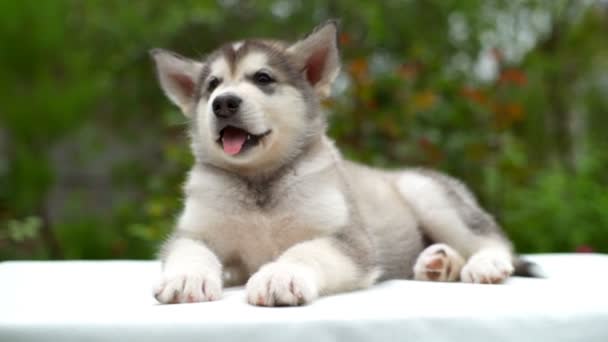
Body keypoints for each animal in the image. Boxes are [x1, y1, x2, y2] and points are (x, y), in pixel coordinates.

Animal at [148, 20, 528, 306]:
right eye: (212, 85)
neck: (260, 182)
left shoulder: (347, 238)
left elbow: (306, 251)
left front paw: (279, 275)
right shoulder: (195, 232)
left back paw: (485, 264)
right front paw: (187, 277)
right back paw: (438, 264)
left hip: (429, 194)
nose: (223, 103)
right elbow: (189, 250)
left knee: (494, 240)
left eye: (263, 78)